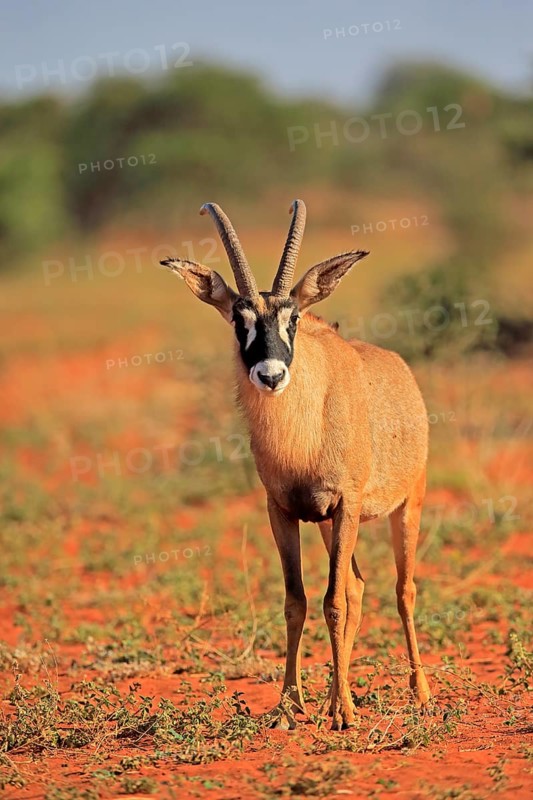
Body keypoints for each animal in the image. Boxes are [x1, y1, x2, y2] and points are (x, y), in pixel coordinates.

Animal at [161, 200, 431, 731]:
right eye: (238, 319)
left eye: (294, 318)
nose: (270, 375)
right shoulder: (283, 511)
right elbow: (297, 601)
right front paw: (290, 706)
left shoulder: (346, 505)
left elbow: (331, 603)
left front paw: (343, 713)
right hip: (328, 524)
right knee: (357, 587)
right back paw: (330, 697)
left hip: (405, 506)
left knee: (401, 589)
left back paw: (419, 691)